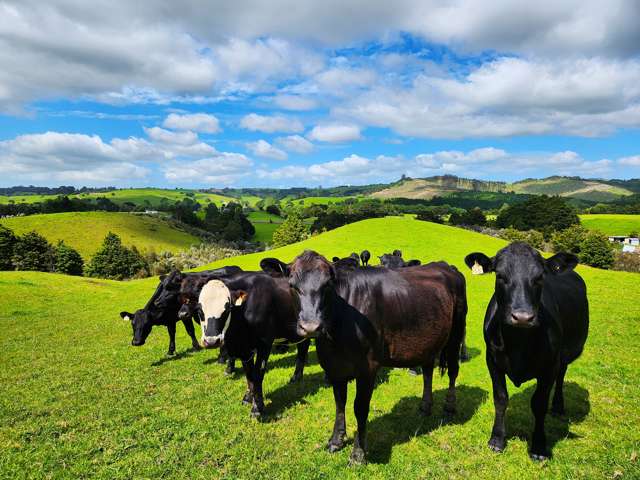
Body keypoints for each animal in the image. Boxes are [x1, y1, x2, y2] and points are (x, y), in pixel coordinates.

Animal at [199, 270, 312, 420]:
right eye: (200, 311)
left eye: (227, 308)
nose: (212, 341)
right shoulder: (245, 349)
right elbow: (249, 374)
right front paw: (248, 397)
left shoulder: (265, 344)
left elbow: (257, 374)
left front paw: (257, 408)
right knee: (303, 348)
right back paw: (296, 377)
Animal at [280, 251, 464, 464]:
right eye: (292, 285)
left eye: (327, 284)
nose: (311, 327)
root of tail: (445, 266)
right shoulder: (334, 367)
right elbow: (339, 403)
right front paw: (336, 440)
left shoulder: (368, 368)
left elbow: (360, 407)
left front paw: (358, 453)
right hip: (429, 339)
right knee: (427, 370)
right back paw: (425, 406)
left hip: (456, 333)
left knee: (453, 370)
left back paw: (449, 407)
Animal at [464, 244, 592, 462]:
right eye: (500, 275)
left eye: (540, 277)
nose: (522, 317)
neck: (518, 343)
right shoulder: (493, 360)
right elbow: (501, 398)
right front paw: (497, 439)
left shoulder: (549, 366)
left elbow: (539, 404)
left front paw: (539, 446)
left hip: (565, 355)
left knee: (561, 377)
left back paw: (558, 406)